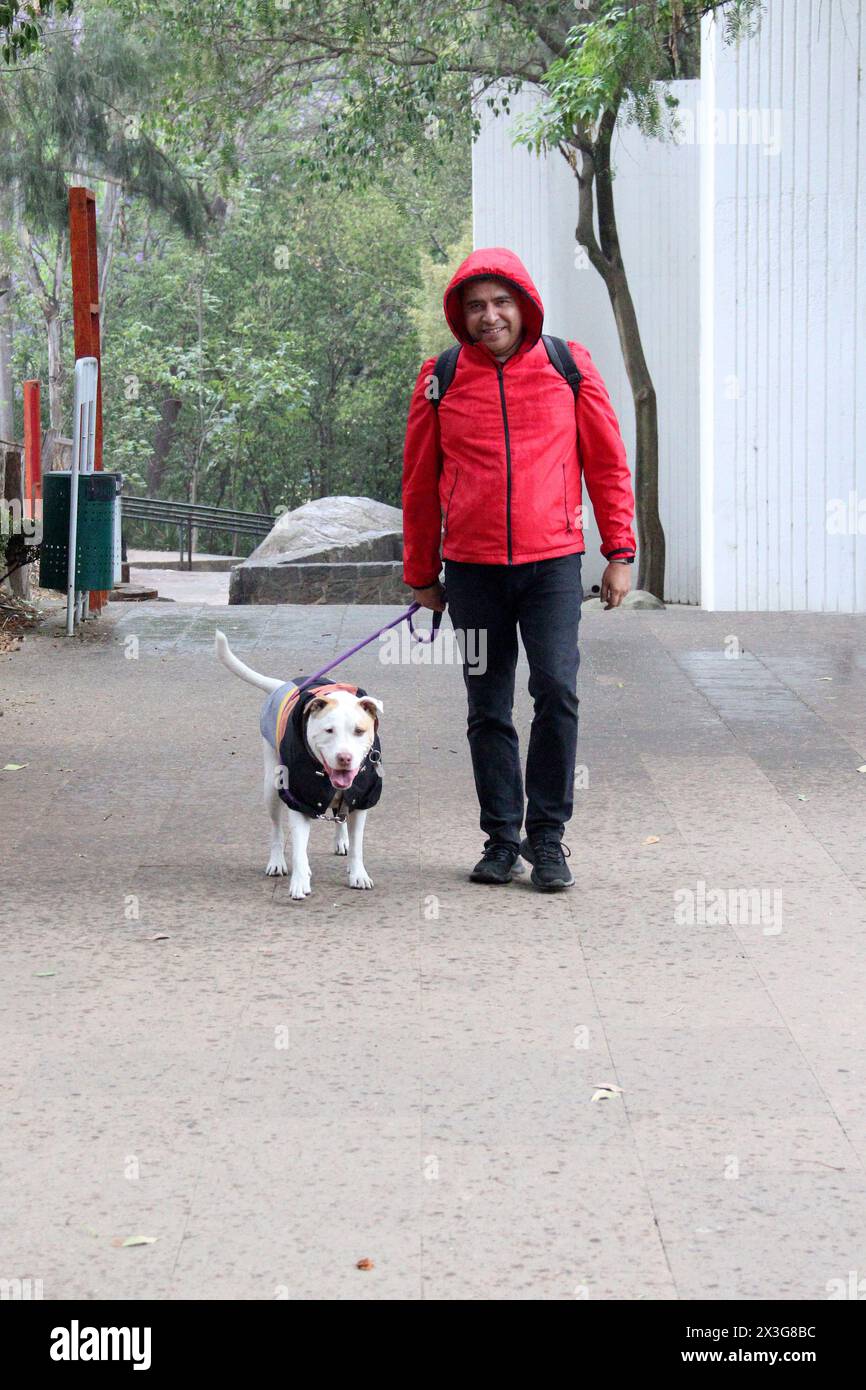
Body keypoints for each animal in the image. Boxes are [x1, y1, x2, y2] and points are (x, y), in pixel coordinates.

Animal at [214, 631, 383, 900]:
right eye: (329, 730)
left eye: (359, 731)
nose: (344, 757)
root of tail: (281, 687)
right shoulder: (299, 800)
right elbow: (299, 848)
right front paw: (300, 881)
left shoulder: (361, 799)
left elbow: (358, 844)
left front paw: (358, 874)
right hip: (272, 786)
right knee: (276, 829)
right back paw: (276, 862)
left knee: (340, 816)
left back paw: (341, 839)